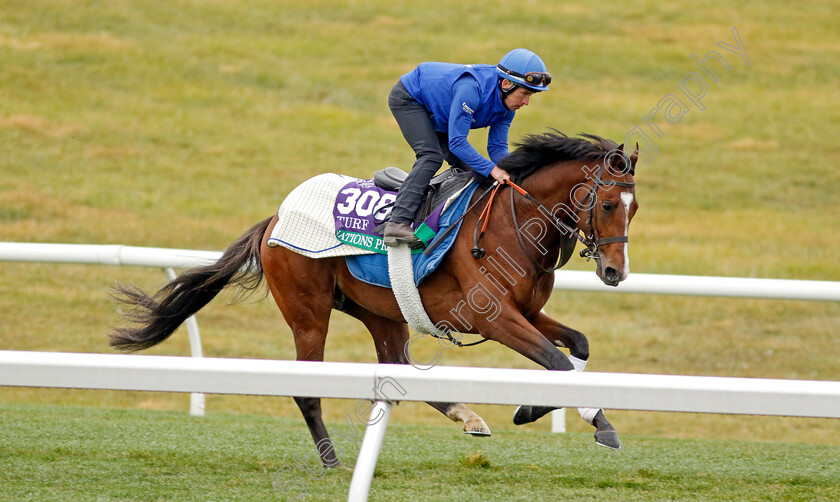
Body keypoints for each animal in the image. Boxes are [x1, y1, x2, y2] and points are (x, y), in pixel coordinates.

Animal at [108, 130, 640, 466]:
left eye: (635, 208)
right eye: (607, 204)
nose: (615, 272)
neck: (513, 226)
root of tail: (275, 218)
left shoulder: (527, 311)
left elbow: (577, 346)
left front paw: (546, 411)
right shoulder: (495, 318)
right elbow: (556, 360)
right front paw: (593, 423)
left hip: (384, 311)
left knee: (396, 366)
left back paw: (465, 415)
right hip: (308, 312)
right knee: (307, 386)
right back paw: (331, 460)